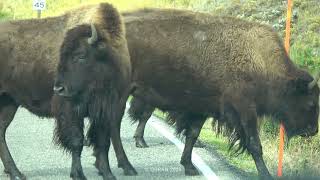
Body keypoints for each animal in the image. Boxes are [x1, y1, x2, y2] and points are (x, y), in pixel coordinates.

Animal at [0, 3, 136, 180]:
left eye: (81, 56)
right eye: (61, 54)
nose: (58, 88)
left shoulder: (105, 111)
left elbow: (103, 142)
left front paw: (107, 173)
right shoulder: (71, 110)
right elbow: (77, 141)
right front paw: (78, 174)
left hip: (9, 102)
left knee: (1, 132)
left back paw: (15, 172)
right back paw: (15, 172)